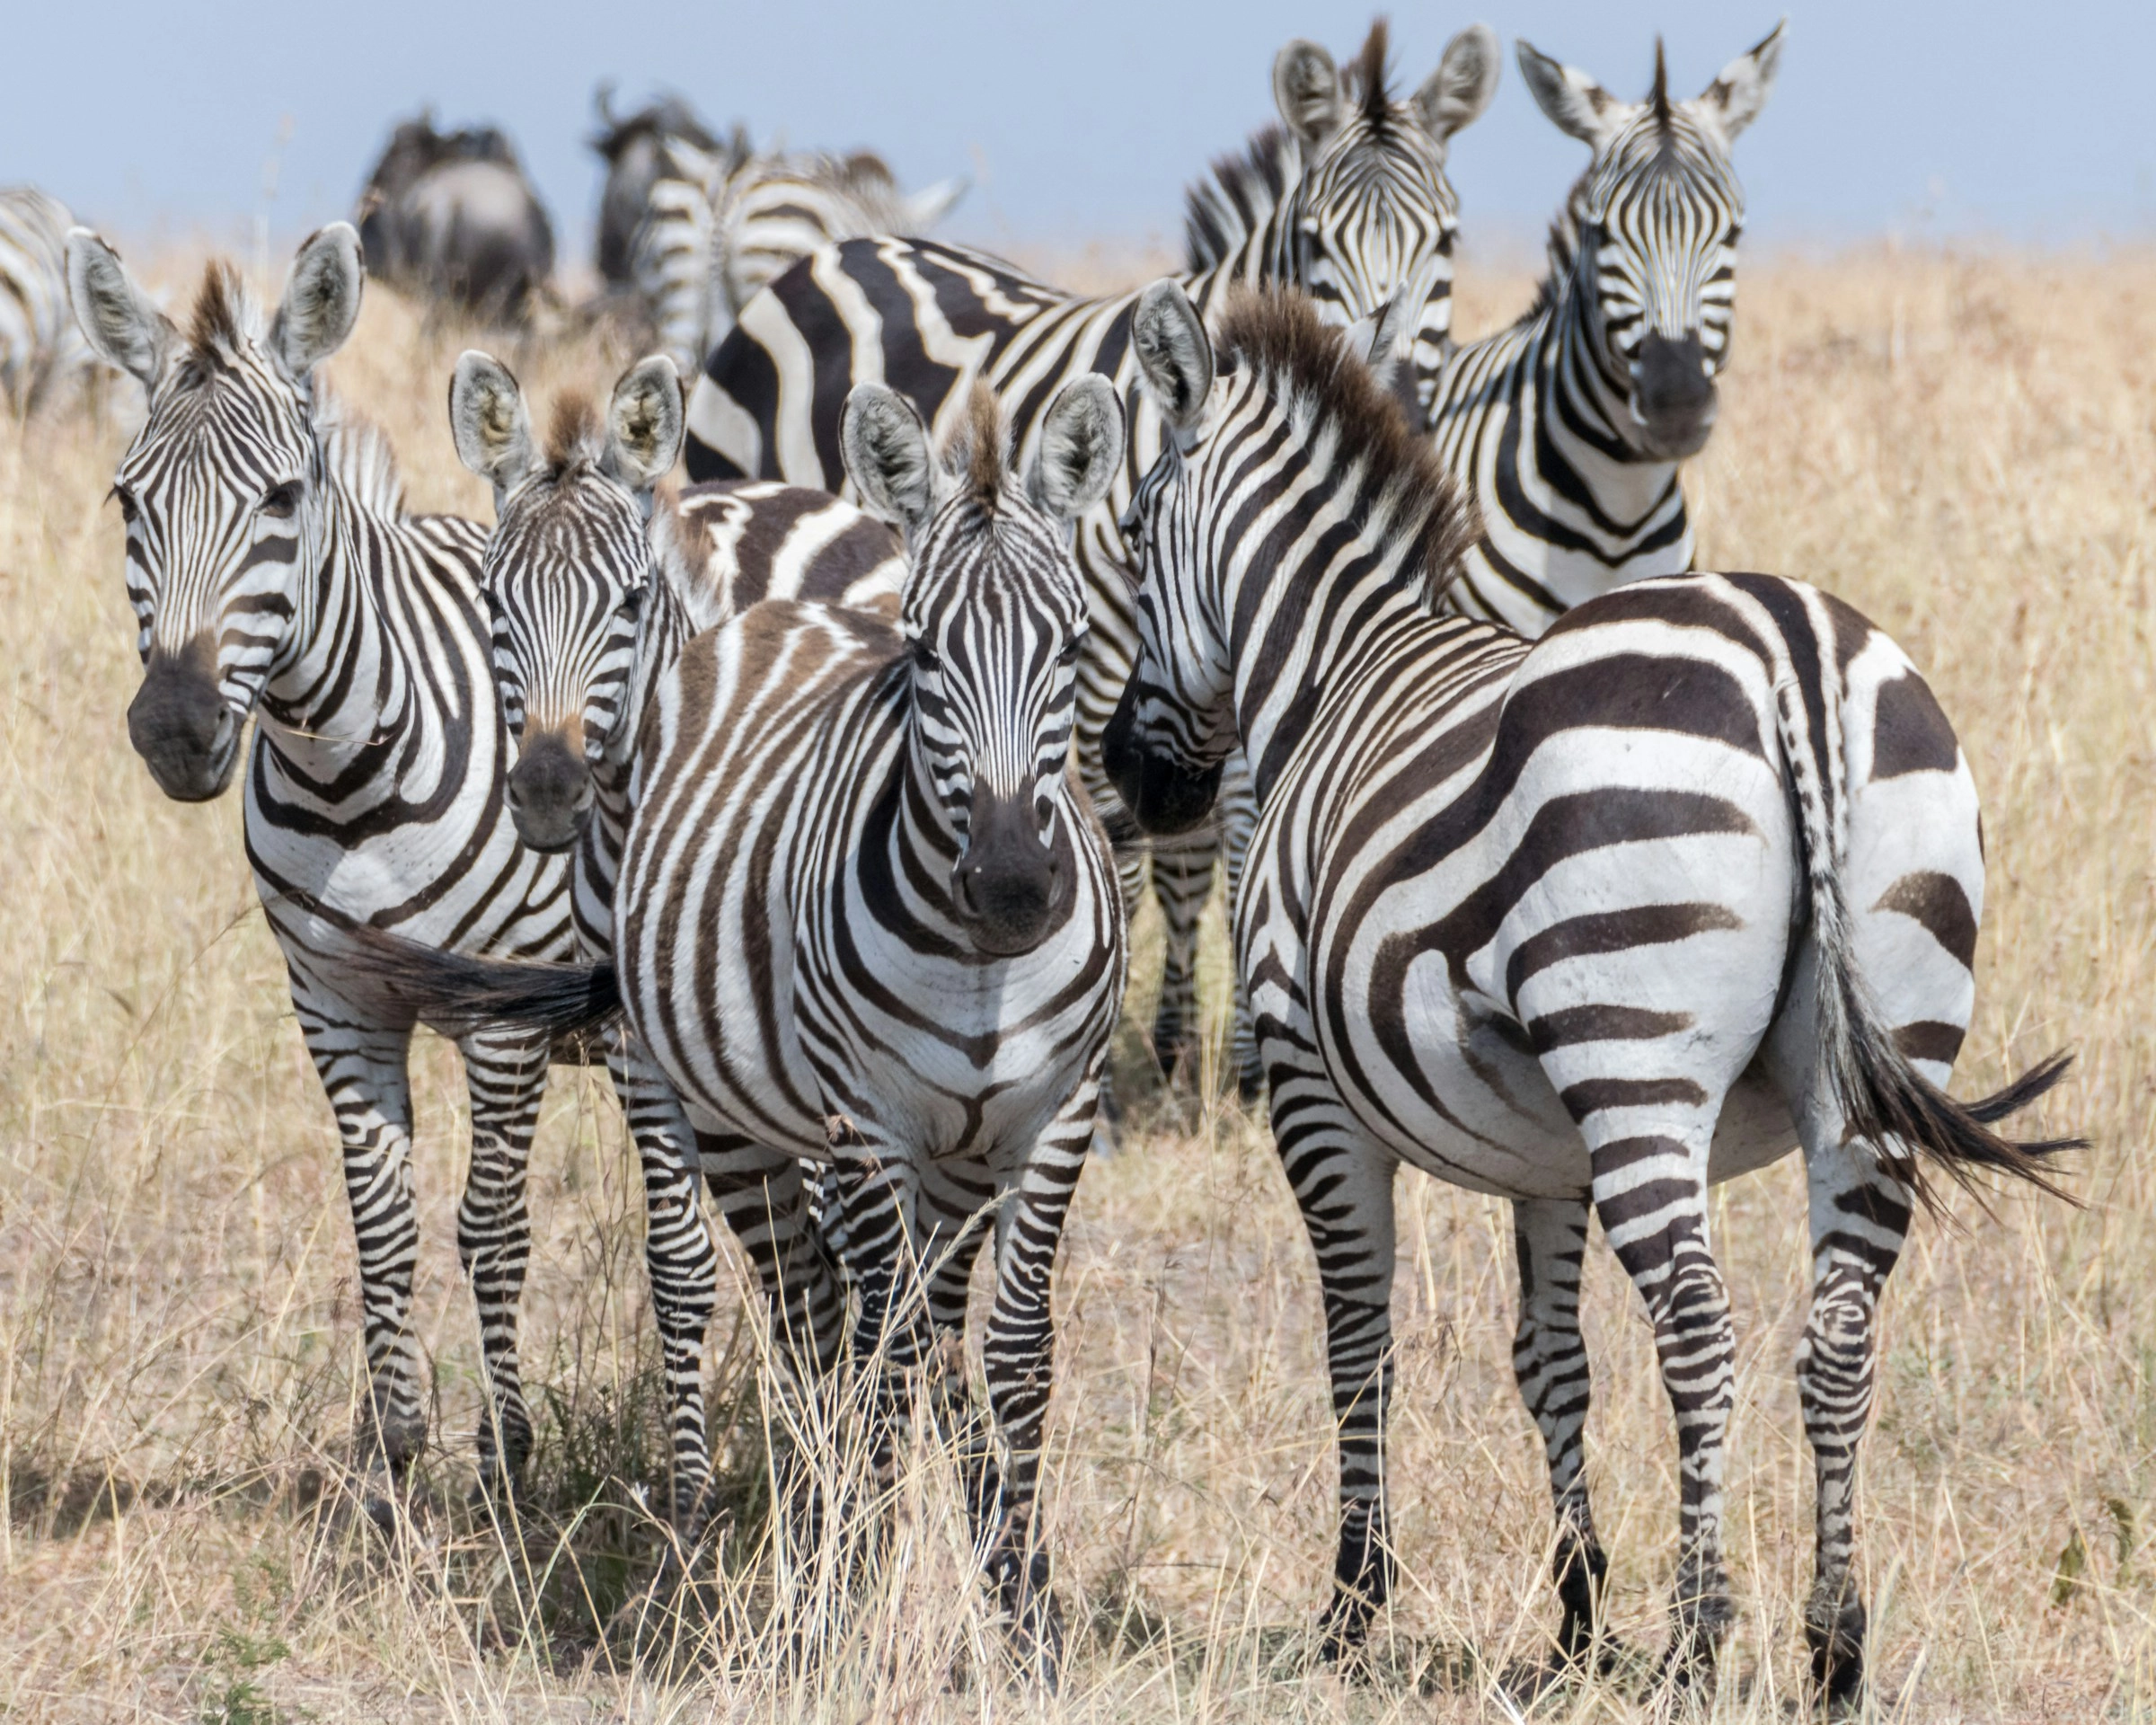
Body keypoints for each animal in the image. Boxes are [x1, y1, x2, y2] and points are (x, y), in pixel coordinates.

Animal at [63, 221, 643, 1526]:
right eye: (128, 501)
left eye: (283, 498)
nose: (174, 729)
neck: (347, 776)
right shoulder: (333, 1002)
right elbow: (381, 1220)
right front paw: (392, 1454)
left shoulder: (504, 1015)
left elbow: (490, 1225)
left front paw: (506, 1459)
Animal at [330, 375, 1128, 1675]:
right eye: (925, 650)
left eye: (1068, 645)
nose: (1015, 884)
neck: (980, 961)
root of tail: (776, 616)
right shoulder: (866, 1127)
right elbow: (884, 1347)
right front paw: (863, 1588)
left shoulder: (1055, 1118)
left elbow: (1008, 1353)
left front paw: (1025, 1613)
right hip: (713, 1100)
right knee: (798, 1303)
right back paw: (775, 1544)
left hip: (939, 1153)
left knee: (884, 1317)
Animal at [683, 18, 1500, 1095]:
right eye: (1317, 239)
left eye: (1447, 240)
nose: (1397, 411)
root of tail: (840, 250)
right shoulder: (1118, 650)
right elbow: (1137, 849)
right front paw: (1136, 1057)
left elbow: (1231, 835)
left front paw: (1222, 1058)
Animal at [1103, 281, 2075, 1704]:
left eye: (1125, 538)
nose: (1135, 781)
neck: (1335, 671)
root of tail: (1791, 651)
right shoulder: (1545, 1155)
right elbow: (1548, 1364)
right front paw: (1573, 1617)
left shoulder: (1308, 1094)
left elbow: (1358, 1346)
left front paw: (1354, 1607)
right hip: (1877, 1061)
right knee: (1838, 1339)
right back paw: (1833, 1643)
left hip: (1636, 1059)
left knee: (1700, 1333)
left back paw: (1699, 1638)